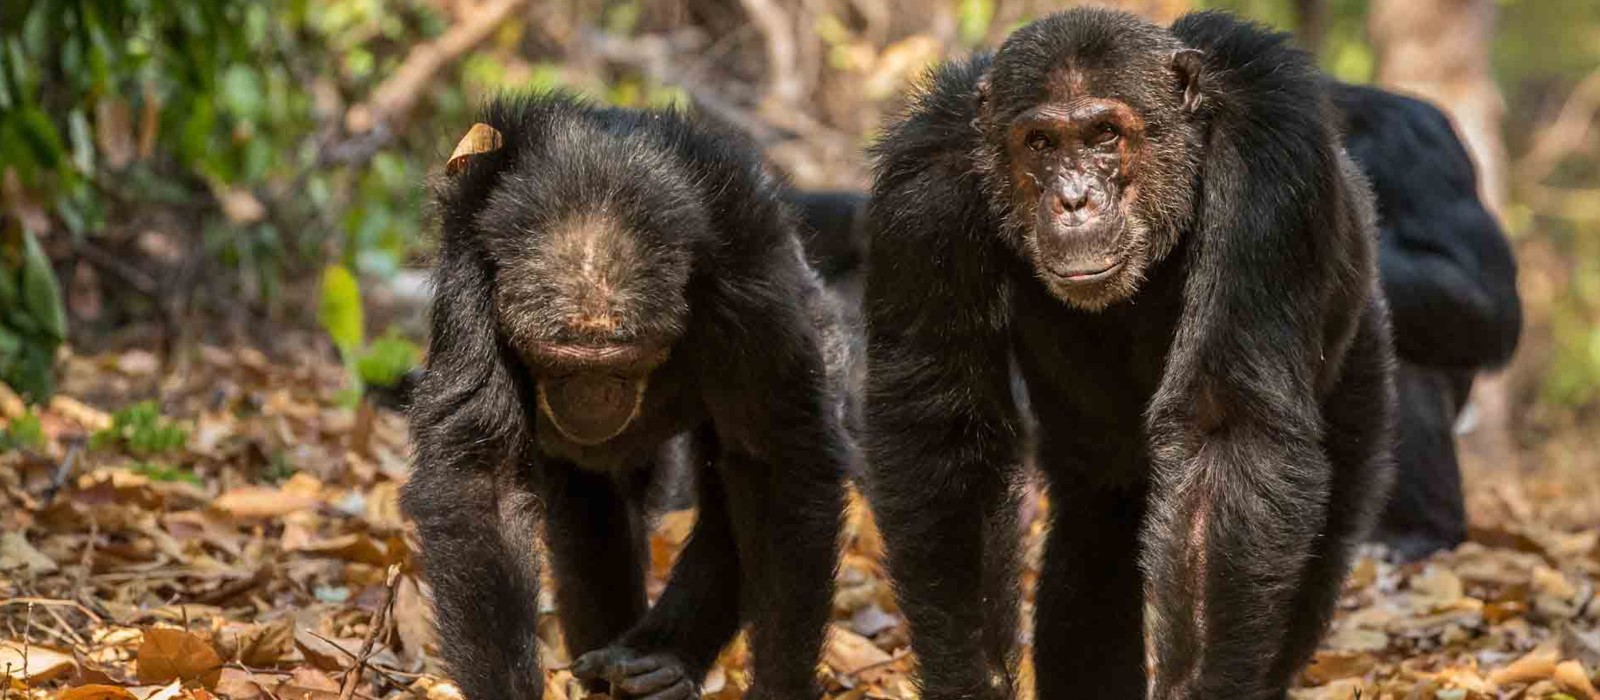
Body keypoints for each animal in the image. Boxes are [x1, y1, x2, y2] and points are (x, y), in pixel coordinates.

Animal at [398, 95, 851, 700]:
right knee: (592, 512)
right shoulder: (469, 276)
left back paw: (659, 659)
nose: (589, 398)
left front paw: (779, 689)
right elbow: (481, 476)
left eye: (623, 361)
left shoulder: (751, 277)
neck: (599, 181)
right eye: (557, 361)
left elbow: (779, 462)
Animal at [857, 10, 1395, 700]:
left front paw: (1202, 687)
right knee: (1097, 526)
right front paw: (972, 680)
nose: (1075, 200)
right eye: (1040, 143)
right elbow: (944, 435)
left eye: (1105, 134)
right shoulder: (924, 193)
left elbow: (1222, 430)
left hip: (1365, 352)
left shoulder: (1270, 162)